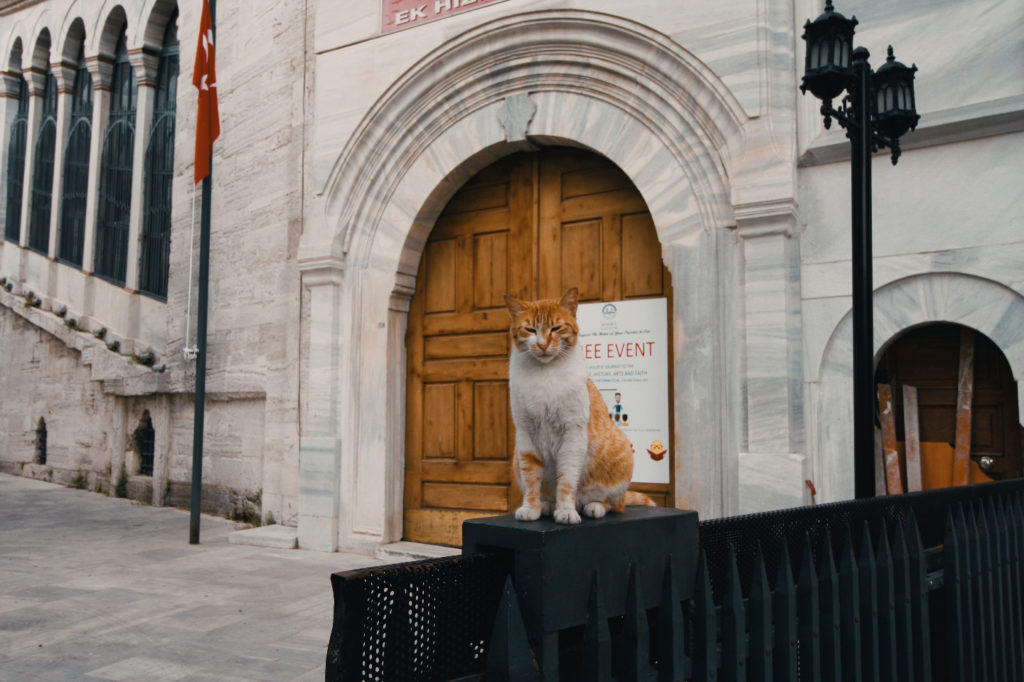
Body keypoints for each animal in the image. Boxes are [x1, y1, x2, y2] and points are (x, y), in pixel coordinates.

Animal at [503, 284, 655, 522]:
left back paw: (593, 506)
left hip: (621, 457)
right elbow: (531, 478)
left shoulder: (572, 434)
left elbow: (566, 479)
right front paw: (531, 508)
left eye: (556, 328)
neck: (545, 373)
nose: (543, 344)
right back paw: (547, 505)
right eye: (530, 330)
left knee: (614, 504)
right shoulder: (526, 435)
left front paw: (566, 511)